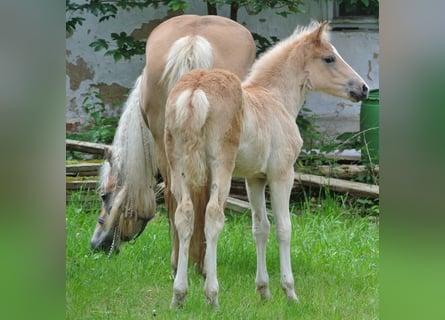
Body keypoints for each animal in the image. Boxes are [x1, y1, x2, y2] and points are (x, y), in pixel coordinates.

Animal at [165, 20, 366, 308]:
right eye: (329, 58)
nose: (363, 88)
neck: (275, 99)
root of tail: (196, 89)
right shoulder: (282, 174)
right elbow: (284, 228)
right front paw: (289, 291)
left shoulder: (254, 178)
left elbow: (260, 228)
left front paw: (263, 290)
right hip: (221, 167)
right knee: (213, 216)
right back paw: (212, 295)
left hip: (178, 165)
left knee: (184, 216)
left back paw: (179, 295)